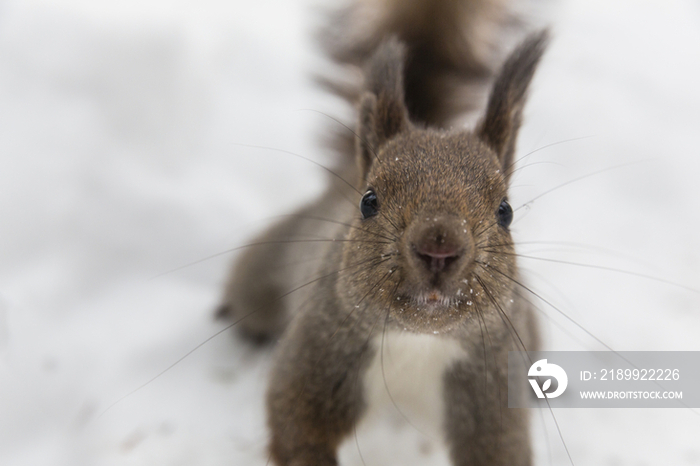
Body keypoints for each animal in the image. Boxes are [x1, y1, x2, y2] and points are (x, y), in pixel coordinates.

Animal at [219, 0, 548, 466]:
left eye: (506, 211)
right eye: (369, 201)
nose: (438, 248)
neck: (418, 340)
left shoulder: (491, 386)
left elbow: (499, 450)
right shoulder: (319, 352)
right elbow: (296, 426)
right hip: (265, 272)